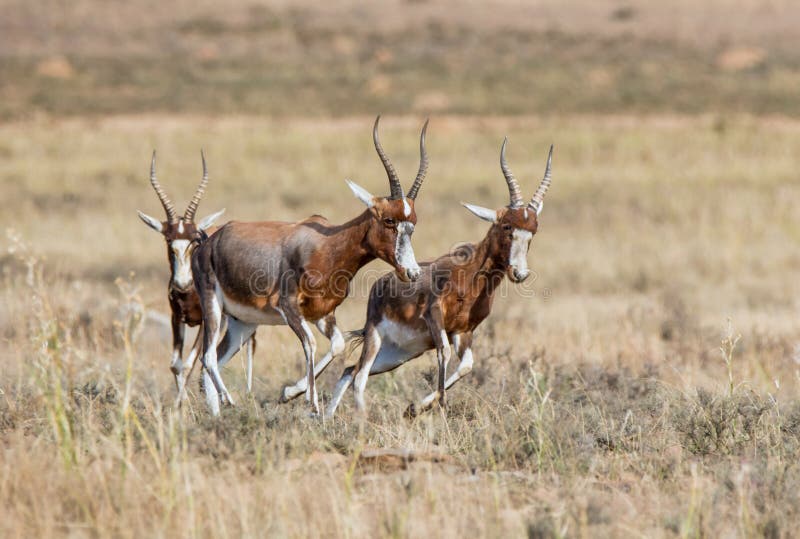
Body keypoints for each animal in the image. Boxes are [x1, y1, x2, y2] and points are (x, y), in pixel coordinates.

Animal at [137, 151, 254, 403]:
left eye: (194, 240)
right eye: (168, 240)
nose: (181, 284)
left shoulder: (204, 323)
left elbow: (191, 363)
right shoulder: (176, 318)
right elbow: (176, 365)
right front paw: (179, 406)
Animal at [192, 116, 430, 415]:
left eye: (413, 224)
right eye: (388, 220)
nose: (412, 272)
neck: (325, 245)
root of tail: (208, 242)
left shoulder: (322, 314)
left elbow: (337, 345)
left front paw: (291, 392)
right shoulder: (289, 308)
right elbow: (311, 344)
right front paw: (312, 406)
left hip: (242, 323)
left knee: (213, 361)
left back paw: (216, 413)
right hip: (212, 304)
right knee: (208, 357)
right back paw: (229, 400)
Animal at [324, 139, 553, 418]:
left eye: (533, 231)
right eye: (507, 226)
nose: (519, 273)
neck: (468, 276)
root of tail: (382, 283)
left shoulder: (463, 332)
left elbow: (466, 365)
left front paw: (415, 407)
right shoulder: (435, 317)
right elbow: (444, 351)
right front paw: (433, 405)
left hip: (399, 353)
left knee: (350, 370)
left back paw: (325, 417)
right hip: (376, 338)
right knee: (359, 375)